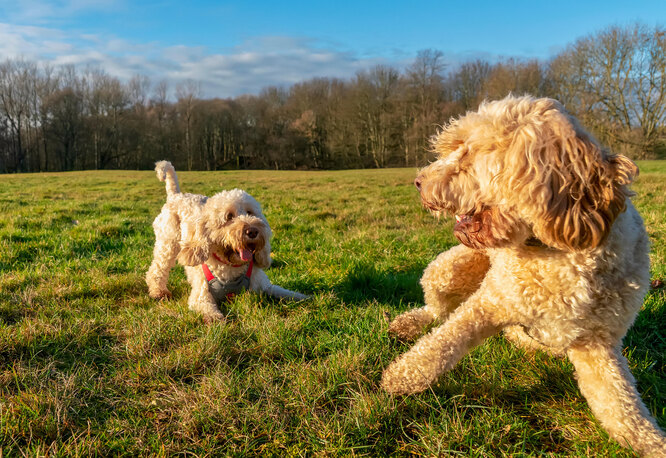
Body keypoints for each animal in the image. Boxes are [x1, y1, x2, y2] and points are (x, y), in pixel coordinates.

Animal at [145, 160, 306, 318]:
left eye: (250, 212)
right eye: (229, 217)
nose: (253, 231)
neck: (231, 266)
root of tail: (176, 195)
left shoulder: (265, 286)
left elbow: (287, 293)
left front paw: (306, 298)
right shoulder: (201, 298)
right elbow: (210, 311)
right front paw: (217, 320)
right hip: (167, 246)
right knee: (156, 270)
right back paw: (159, 292)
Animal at [382, 95, 660, 456]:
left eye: (468, 153)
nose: (418, 182)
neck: (556, 251)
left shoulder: (598, 347)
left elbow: (621, 407)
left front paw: (652, 443)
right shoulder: (488, 303)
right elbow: (441, 343)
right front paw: (401, 376)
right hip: (444, 272)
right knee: (437, 311)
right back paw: (409, 323)